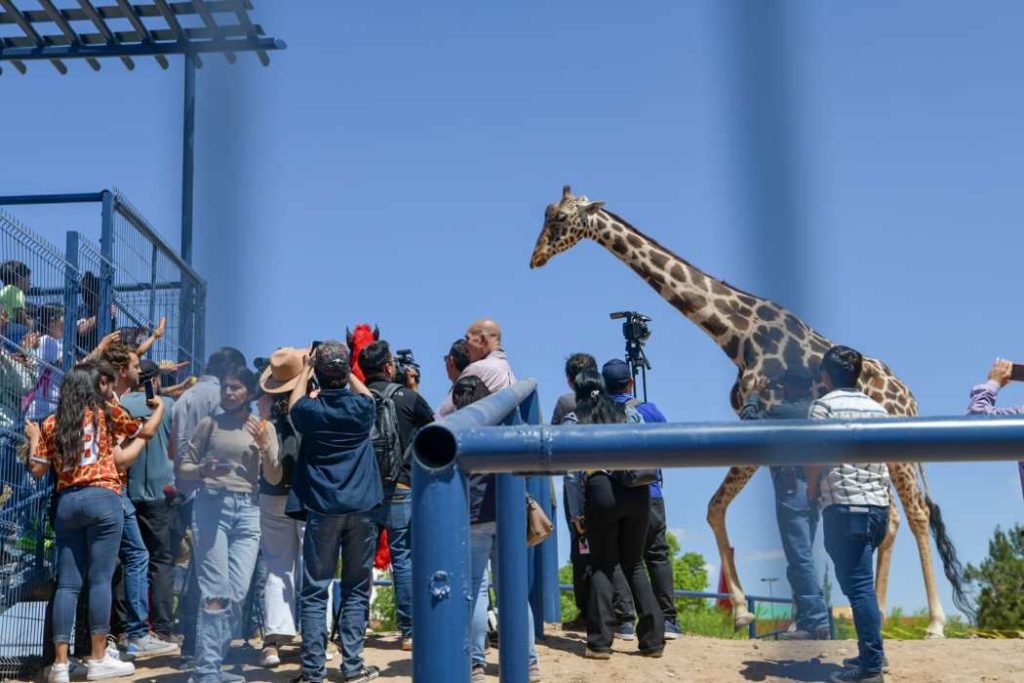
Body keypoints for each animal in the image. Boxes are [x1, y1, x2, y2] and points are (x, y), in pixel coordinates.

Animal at [530, 186, 972, 639]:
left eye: (561, 219)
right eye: (547, 215)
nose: (536, 257)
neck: (736, 334)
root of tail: (910, 396)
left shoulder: (763, 421)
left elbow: (742, 511)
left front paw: (755, 613)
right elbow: (755, 516)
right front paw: (776, 617)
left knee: (917, 514)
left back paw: (935, 624)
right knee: (894, 518)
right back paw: (880, 614)